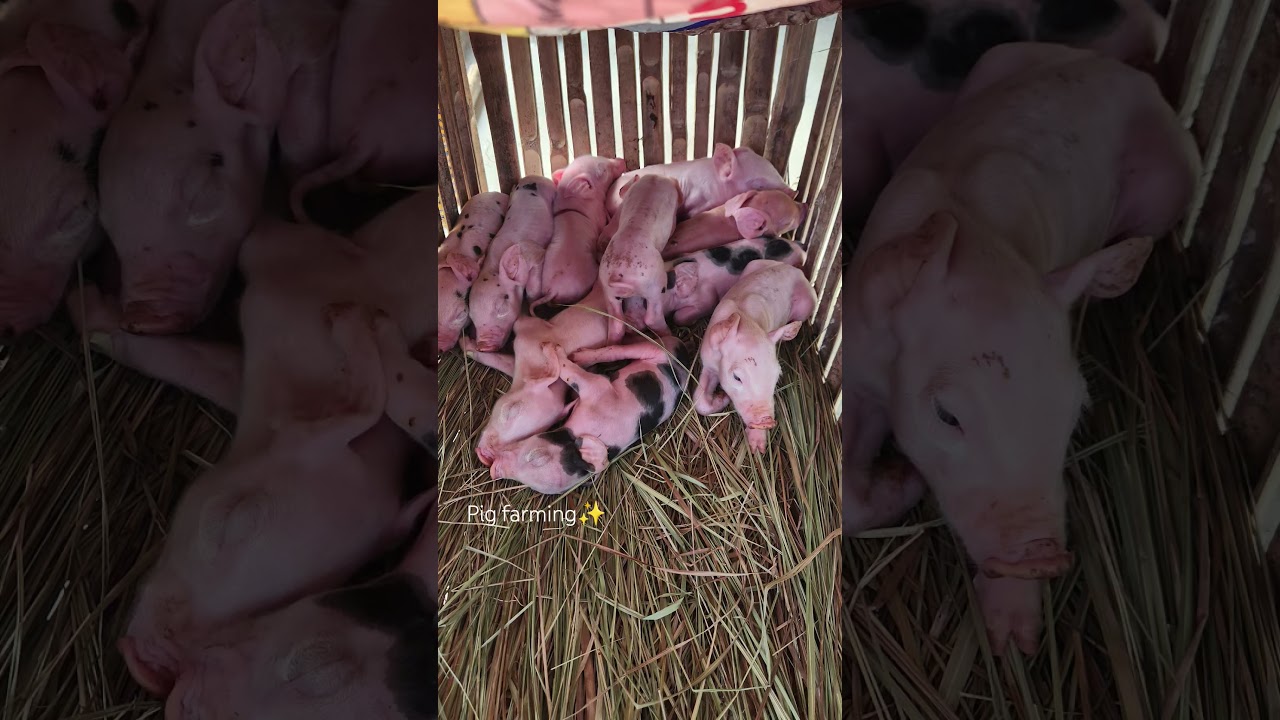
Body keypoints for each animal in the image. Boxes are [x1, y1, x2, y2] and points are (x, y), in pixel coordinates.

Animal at [468, 176, 556, 351]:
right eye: (472, 317)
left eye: (502, 307)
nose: (483, 347)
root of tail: (532, 177)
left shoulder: (536, 254)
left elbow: (533, 289)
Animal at [490, 335, 690, 494]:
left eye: (538, 458)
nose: (494, 470)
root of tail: (684, 352)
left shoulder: (597, 388)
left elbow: (570, 373)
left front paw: (549, 346)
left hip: (658, 350)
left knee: (622, 349)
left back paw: (576, 355)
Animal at [598, 175, 681, 343]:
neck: (653, 180)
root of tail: (619, 274)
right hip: (654, 286)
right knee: (652, 318)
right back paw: (668, 334)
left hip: (608, 291)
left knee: (617, 323)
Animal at [693, 259, 815, 453]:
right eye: (737, 377)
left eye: (777, 376)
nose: (767, 421)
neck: (749, 323)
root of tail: (793, 268)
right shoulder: (708, 361)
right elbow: (699, 401)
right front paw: (723, 398)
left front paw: (758, 449)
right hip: (752, 264)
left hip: (809, 303)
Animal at [841, 42, 1199, 656]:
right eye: (948, 414)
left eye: (1075, 412)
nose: (1045, 559)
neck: (987, 245)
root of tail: (1123, 70)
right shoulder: (863, 357)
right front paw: (904, 479)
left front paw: (1015, 644)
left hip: (1173, 181)